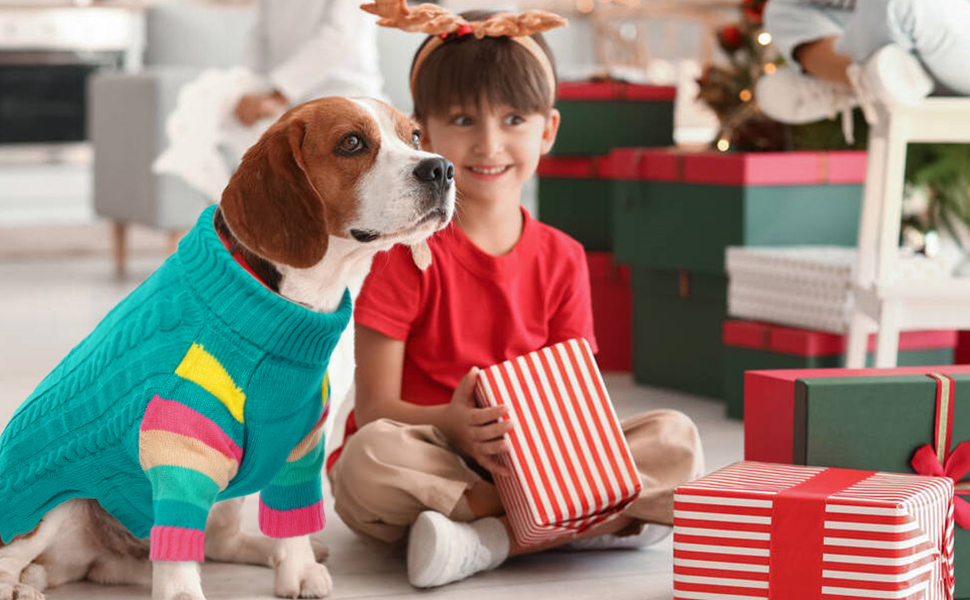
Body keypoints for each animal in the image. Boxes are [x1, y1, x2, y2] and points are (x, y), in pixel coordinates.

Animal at [0, 97, 454, 600]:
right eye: (351, 143)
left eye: (415, 136)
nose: (441, 168)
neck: (296, 301)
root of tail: (95, 562)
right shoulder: (180, 439)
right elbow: (178, 543)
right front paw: (181, 593)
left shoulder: (300, 438)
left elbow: (292, 517)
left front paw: (297, 567)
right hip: (54, 499)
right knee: (17, 556)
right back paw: (18, 586)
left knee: (218, 542)